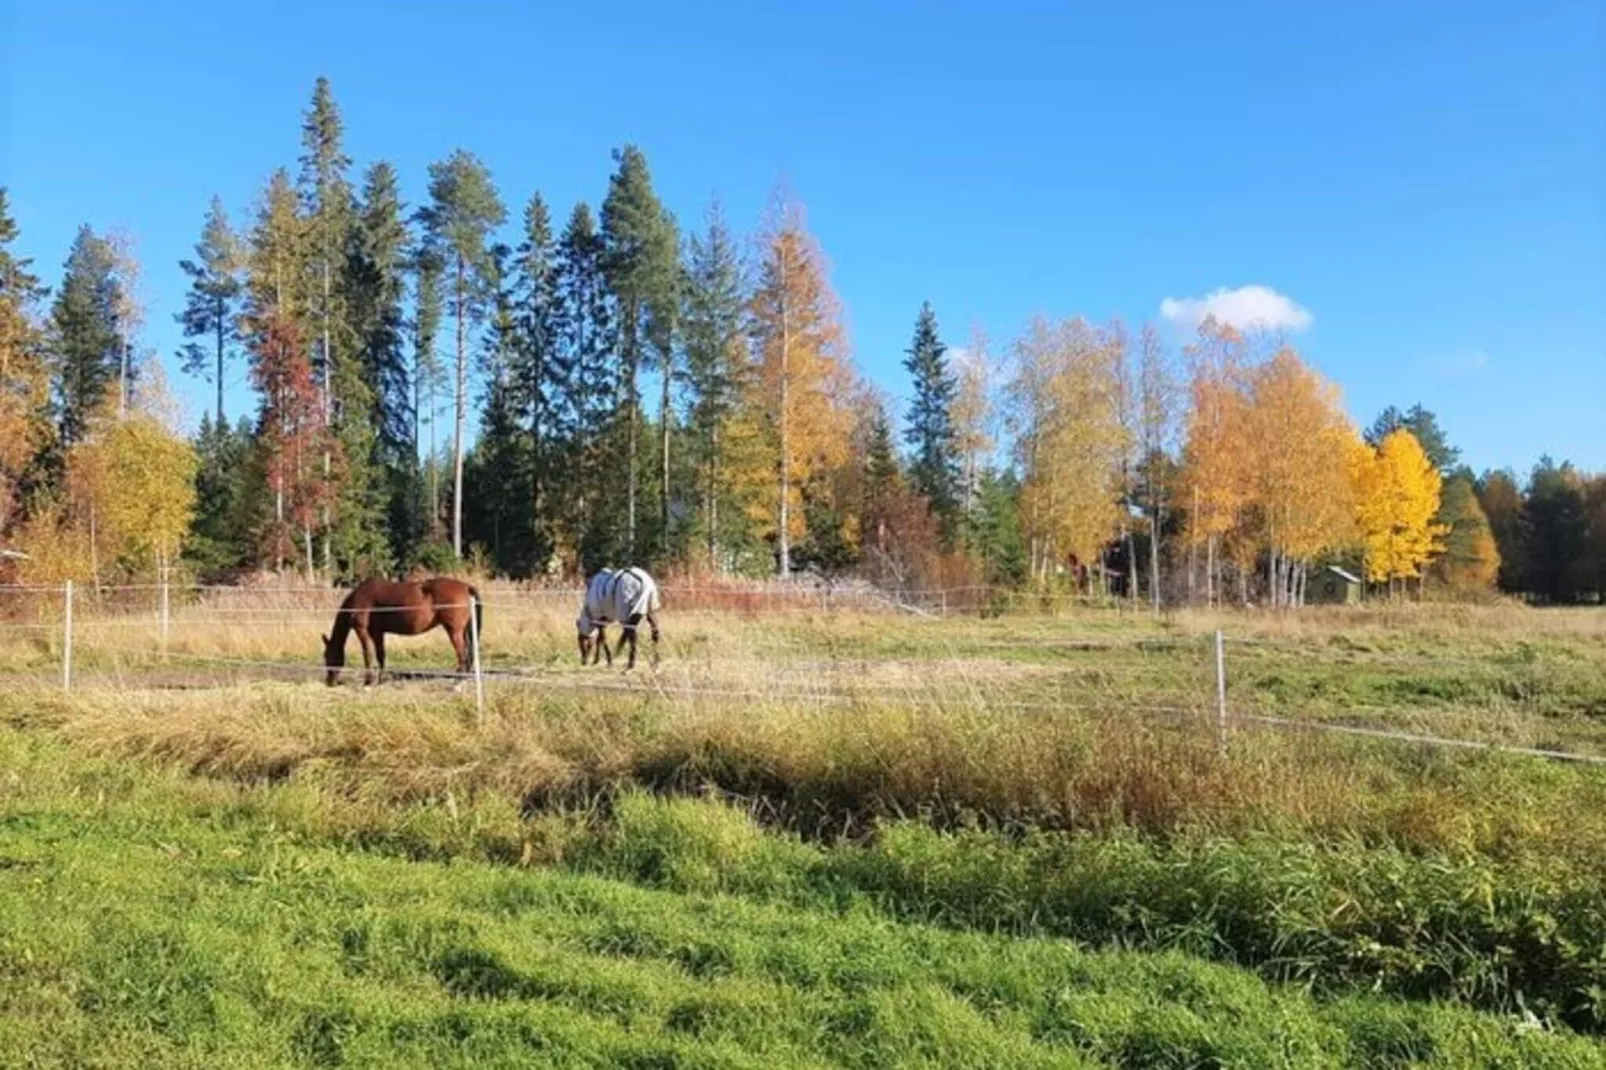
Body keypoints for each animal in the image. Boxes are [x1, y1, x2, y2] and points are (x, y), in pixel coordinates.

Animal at [321, 575, 481, 684]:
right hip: (462, 631)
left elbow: (368, 654)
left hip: (454, 631)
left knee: (462, 654)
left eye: (327, 656)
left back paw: (459, 681)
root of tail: (465, 586)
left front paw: (368, 681)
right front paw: (381, 679)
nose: (330, 682)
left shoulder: (363, 631)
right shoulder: (377, 632)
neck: (360, 598)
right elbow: (380, 655)